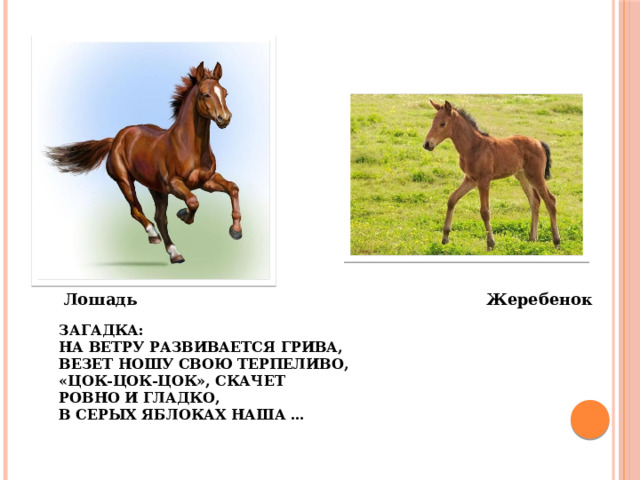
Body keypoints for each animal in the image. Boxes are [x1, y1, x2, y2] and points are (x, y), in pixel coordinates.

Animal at [47, 61, 242, 264]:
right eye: (205, 94)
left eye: (225, 92)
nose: (224, 118)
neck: (189, 147)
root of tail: (115, 139)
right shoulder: (174, 184)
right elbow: (193, 202)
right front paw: (184, 214)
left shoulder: (206, 181)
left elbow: (233, 188)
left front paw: (236, 231)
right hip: (125, 181)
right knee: (137, 210)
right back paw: (154, 235)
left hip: (156, 189)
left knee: (160, 218)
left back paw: (174, 253)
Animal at [422, 100, 560, 251]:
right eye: (433, 122)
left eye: (442, 124)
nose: (427, 144)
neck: (473, 147)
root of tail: (539, 143)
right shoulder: (471, 179)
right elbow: (452, 199)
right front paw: (445, 237)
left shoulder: (484, 180)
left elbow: (485, 211)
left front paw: (490, 244)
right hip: (523, 176)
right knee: (535, 201)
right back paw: (532, 239)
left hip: (536, 176)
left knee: (550, 201)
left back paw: (556, 242)